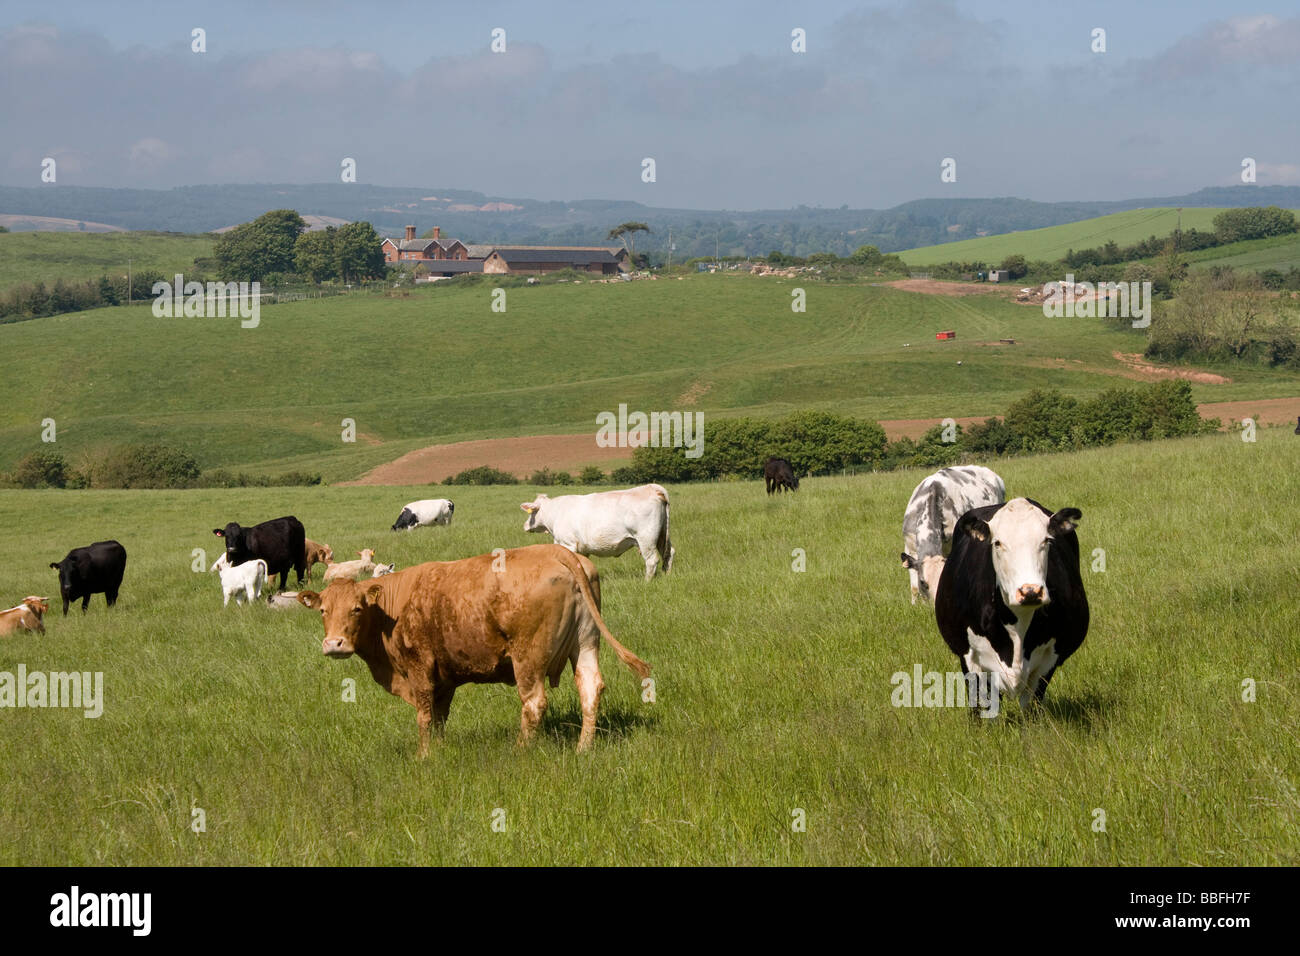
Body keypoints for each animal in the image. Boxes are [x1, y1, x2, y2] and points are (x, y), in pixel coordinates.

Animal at [299, 546, 655, 754]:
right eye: (323, 611)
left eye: (357, 609)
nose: (334, 644)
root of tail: (556, 551)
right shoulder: (443, 679)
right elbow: (439, 718)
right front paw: (439, 752)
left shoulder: (420, 669)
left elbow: (425, 717)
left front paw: (424, 757)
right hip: (585, 643)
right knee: (591, 689)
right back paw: (583, 749)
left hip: (528, 657)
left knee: (534, 703)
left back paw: (520, 751)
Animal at [522, 481, 676, 580]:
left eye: (532, 512)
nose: (525, 525)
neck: (556, 512)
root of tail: (651, 488)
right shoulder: (583, 549)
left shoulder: (567, 543)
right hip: (662, 535)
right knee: (669, 553)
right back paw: (666, 575)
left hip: (646, 539)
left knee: (651, 560)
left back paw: (647, 581)